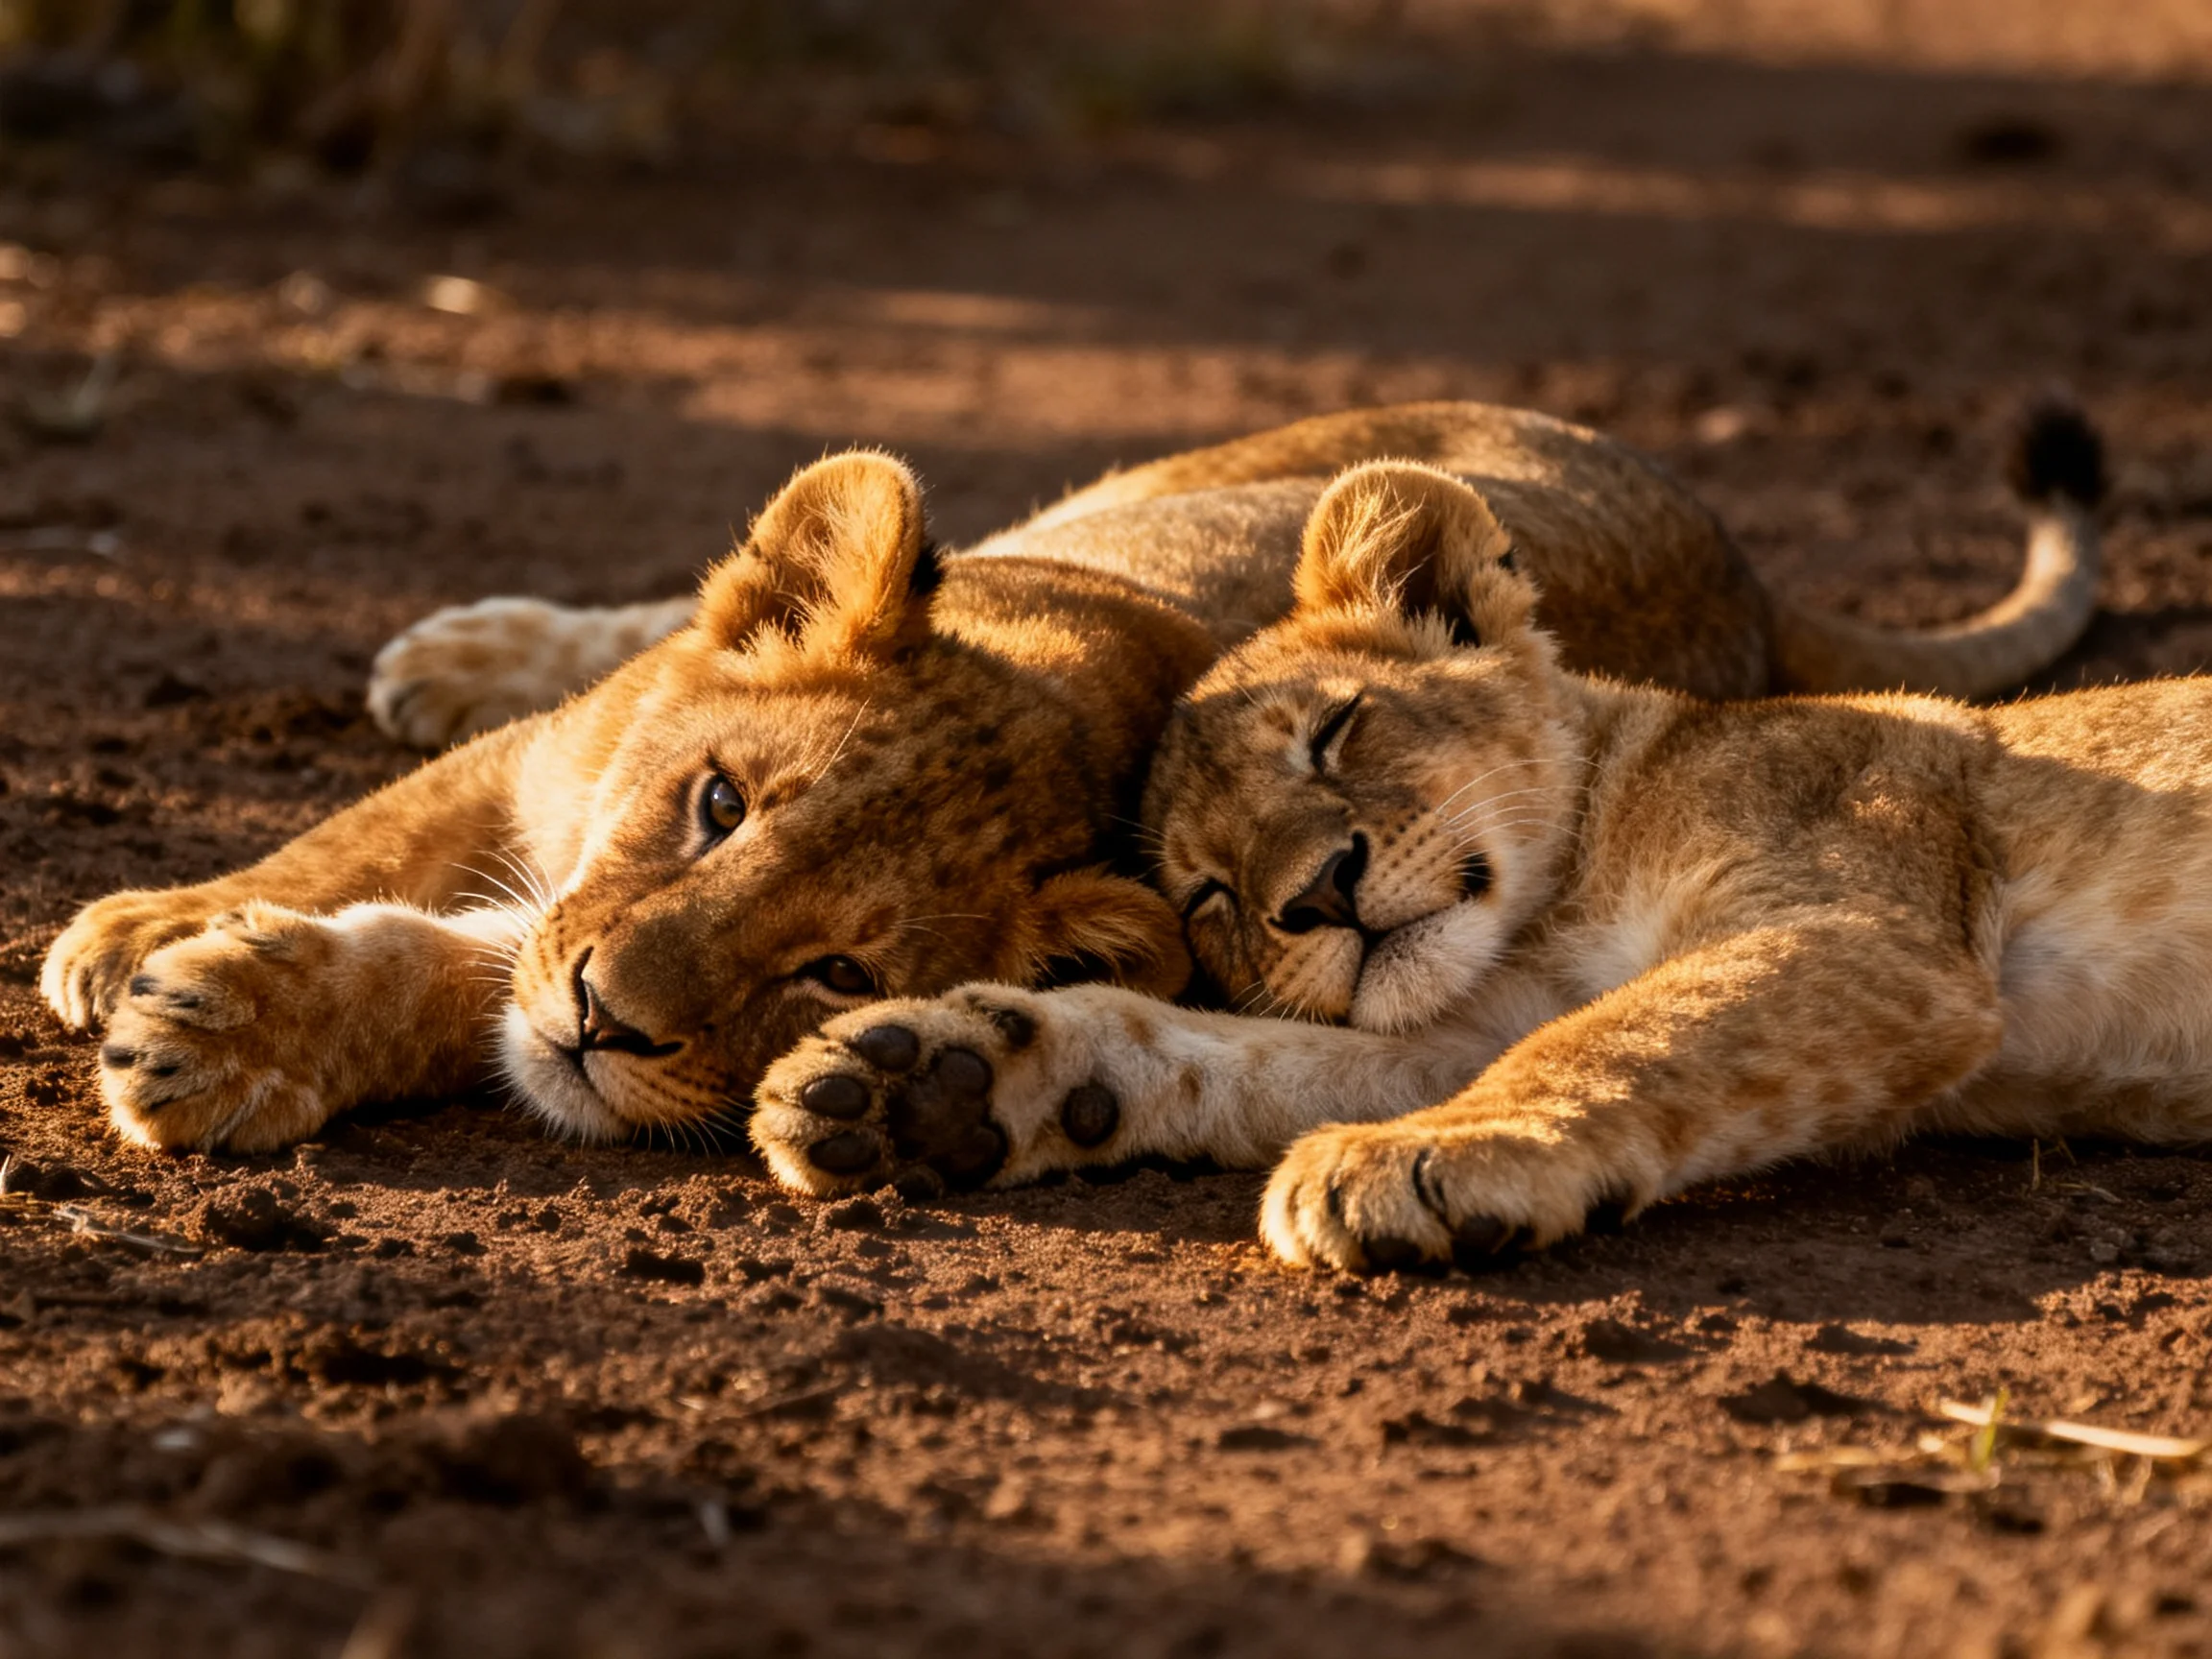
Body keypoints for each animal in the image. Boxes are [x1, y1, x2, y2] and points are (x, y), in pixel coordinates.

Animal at [42, 402, 2099, 1155]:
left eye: (836, 970)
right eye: (714, 803)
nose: (608, 1025)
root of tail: (1736, 555)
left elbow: (467, 969)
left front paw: (217, 1022)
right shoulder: (557, 793)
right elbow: (372, 841)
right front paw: (154, 932)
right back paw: (461, 642)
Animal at [749, 436, 2212, 1281]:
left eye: (1335, 729)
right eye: (1209, 891)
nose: (1318, 894)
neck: (1562, 895)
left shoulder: (1868, 919)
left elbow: (1622, 1037)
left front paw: (1415, 1163)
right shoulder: (1455, 1026)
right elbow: (1221, 1049)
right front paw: (925, 1085)